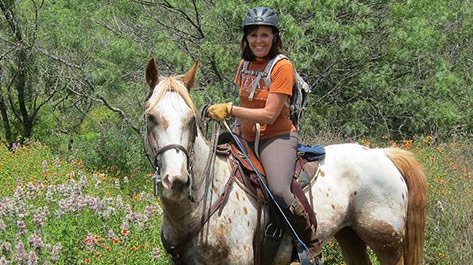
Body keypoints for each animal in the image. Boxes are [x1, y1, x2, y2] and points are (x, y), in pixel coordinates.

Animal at [142, 58, 426, 264]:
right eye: (150, 117)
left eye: (191, 119)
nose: (176, 181)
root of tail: (383, 154)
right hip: (350, 237)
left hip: (386, 242)